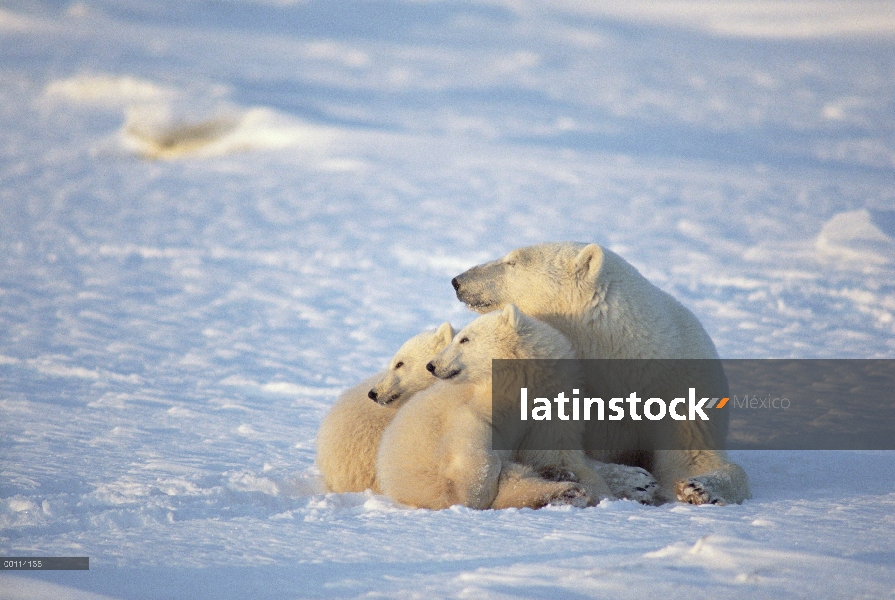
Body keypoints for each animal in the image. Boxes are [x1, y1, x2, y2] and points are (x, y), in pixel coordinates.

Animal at [374, 304, 612, 510]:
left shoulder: (550, 403)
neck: (516, 383)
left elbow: (553, 448)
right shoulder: (477, 405)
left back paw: (569, 491)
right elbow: (474, 438)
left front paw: (564, 473)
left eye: (464, 339)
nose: (432, 365)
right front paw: (470, 494)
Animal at [452, 241, 752, 504]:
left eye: (511, 261)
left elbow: (692, 456)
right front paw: (632, 479)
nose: (458, 281)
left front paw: (699, 487)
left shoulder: (683, 385)